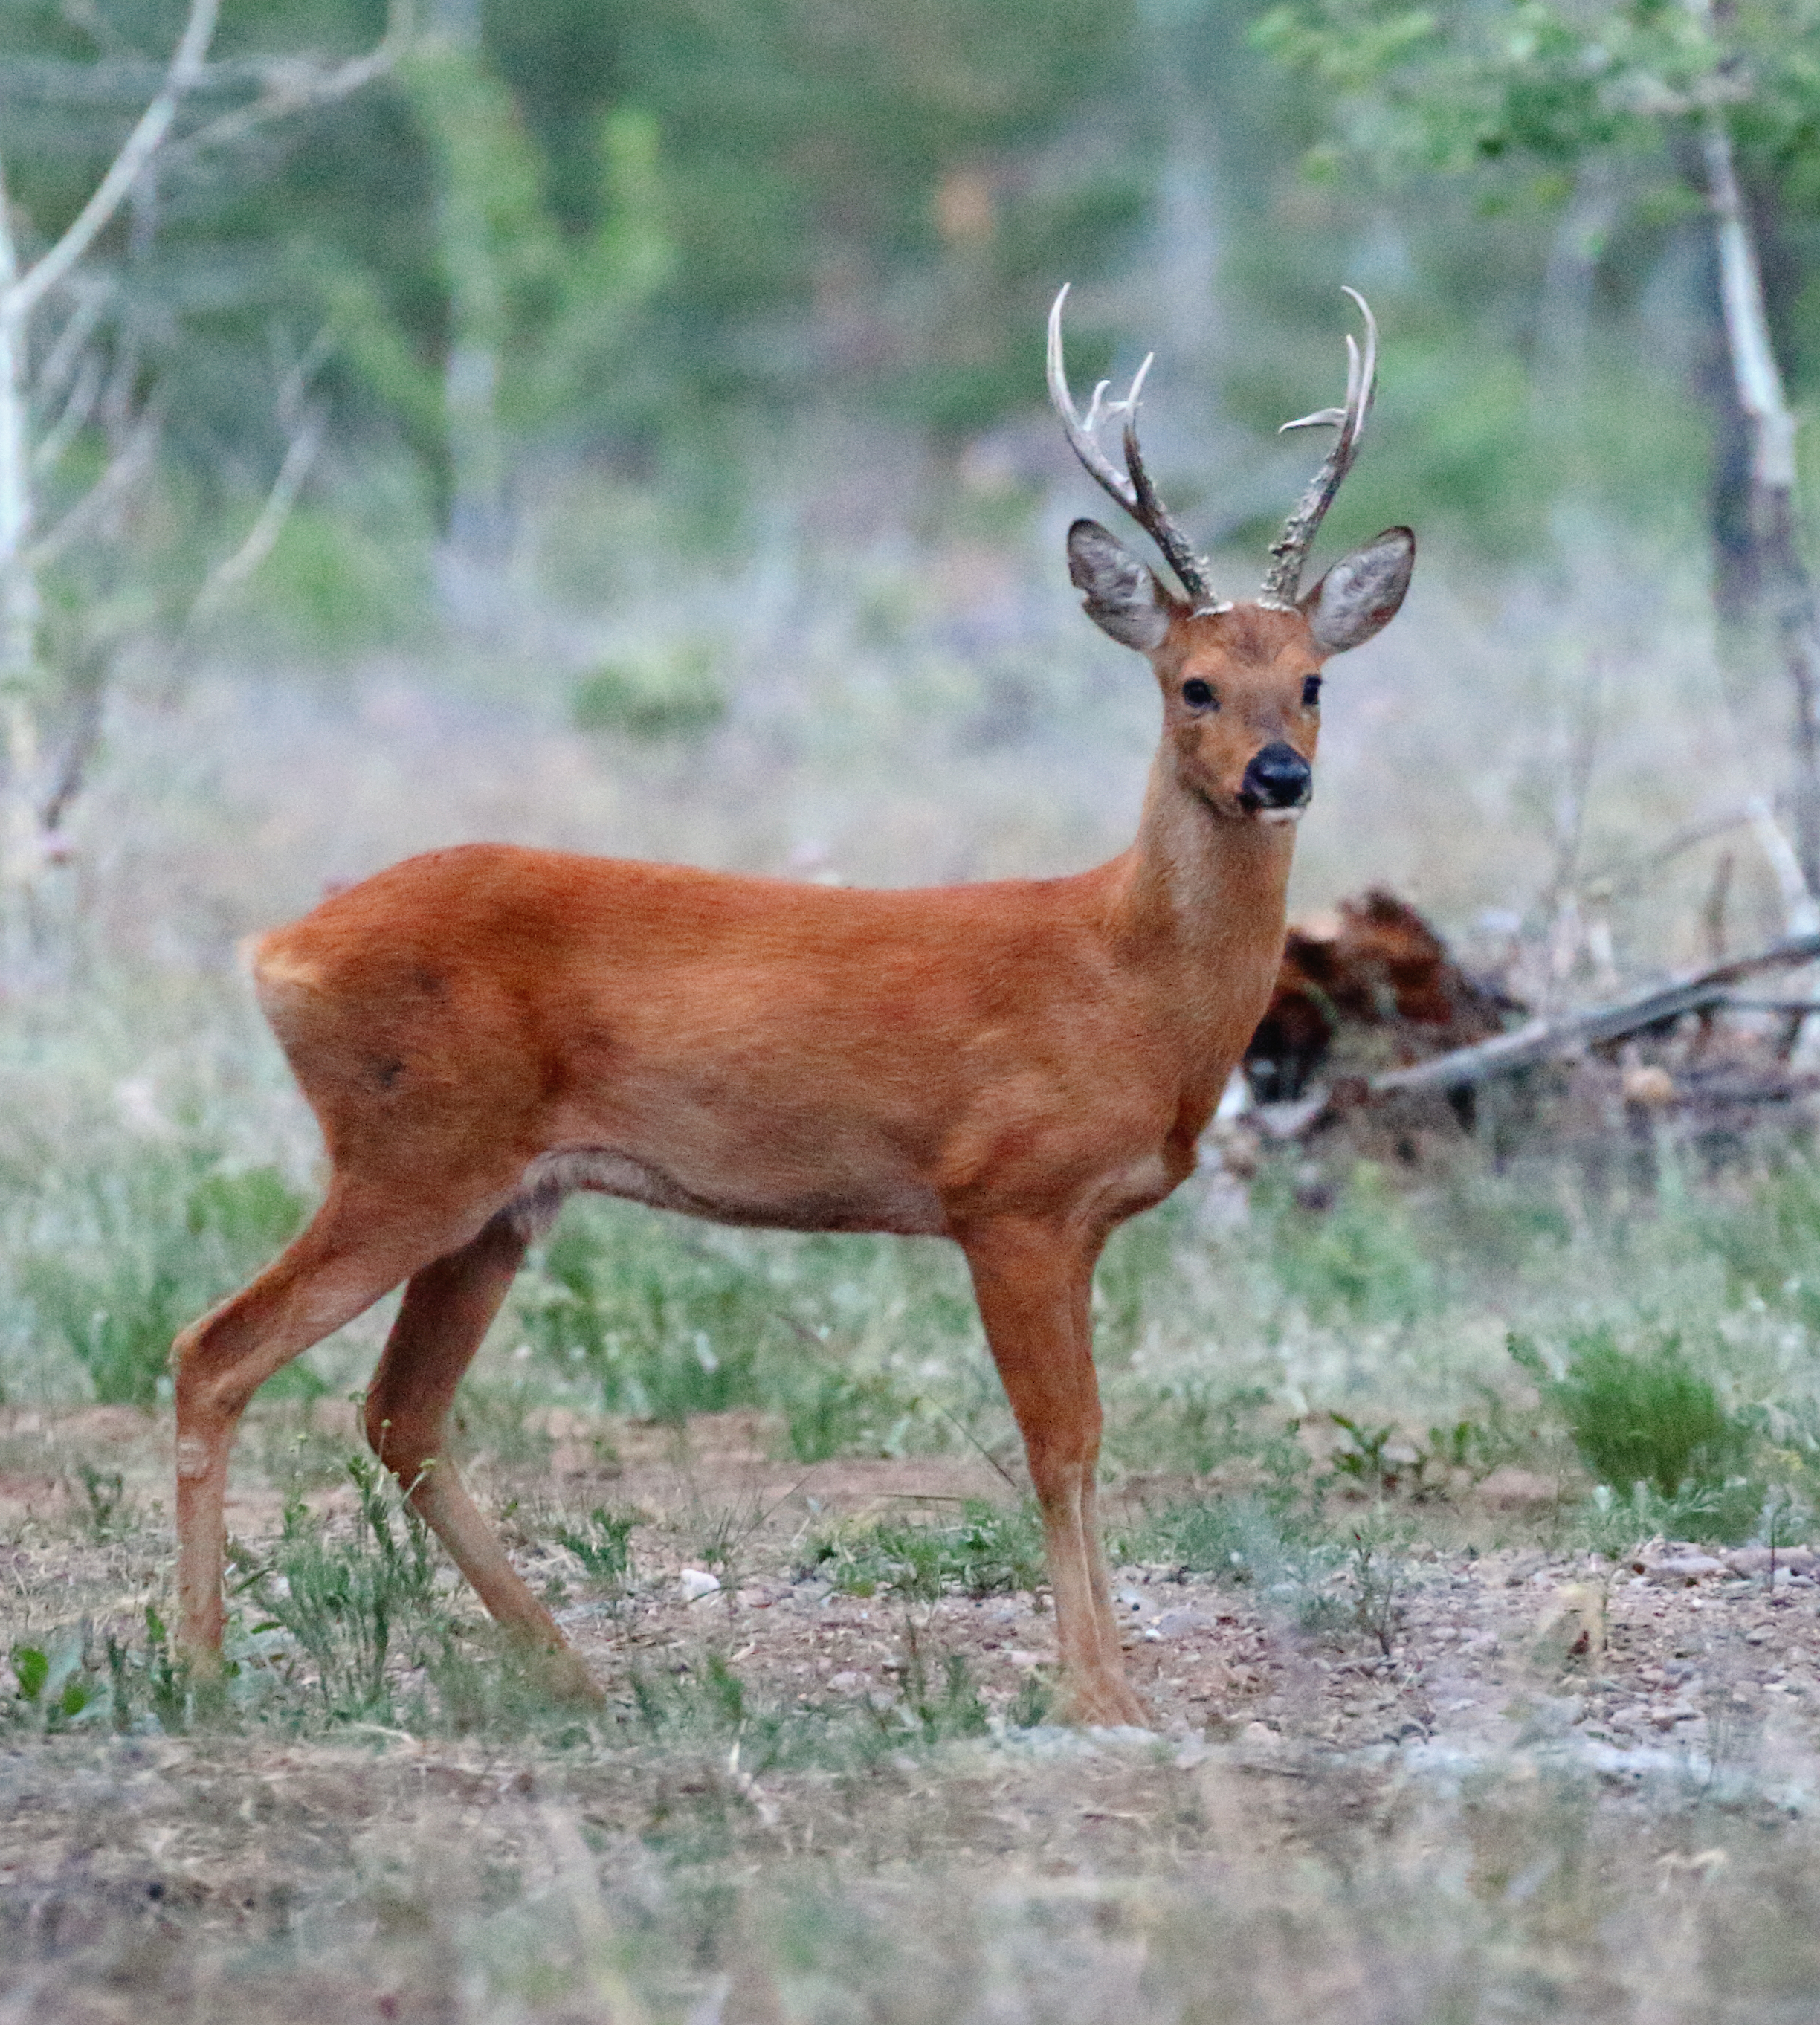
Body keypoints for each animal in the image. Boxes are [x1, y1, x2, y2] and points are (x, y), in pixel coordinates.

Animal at [171, 285, 1417, 1725]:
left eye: (1314, 680)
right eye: (1193, 683)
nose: (1277, 775)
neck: (1127, 983)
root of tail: (276, 949)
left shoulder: (1080, 1221)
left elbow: (1089, 1438)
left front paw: (1110, 1682)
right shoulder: (1006, 1197)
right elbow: (1061, 1442)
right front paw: (1098, 1694)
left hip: (501, 1195)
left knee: (398, 1413)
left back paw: (572, 1672)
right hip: (412, 1147)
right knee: (215, 1350)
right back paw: (200, 1666)